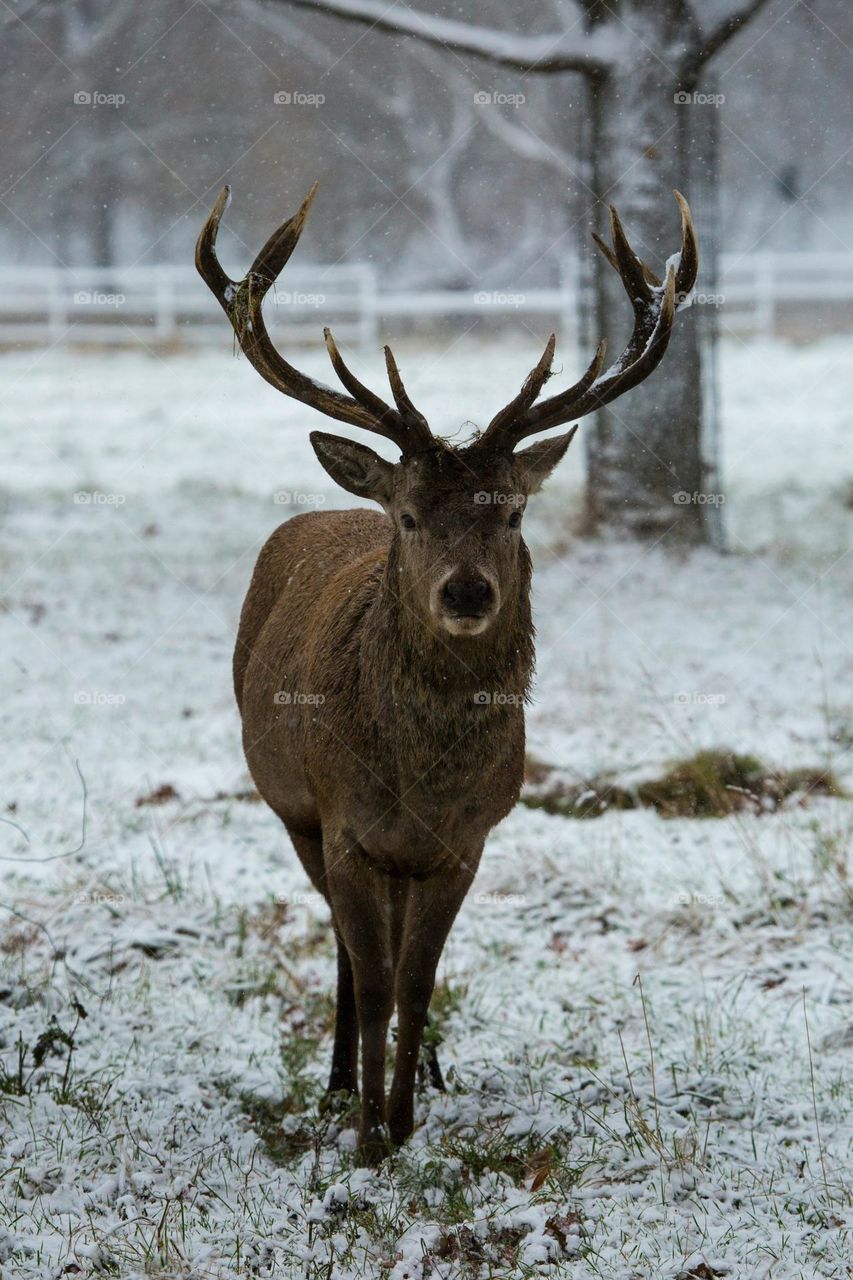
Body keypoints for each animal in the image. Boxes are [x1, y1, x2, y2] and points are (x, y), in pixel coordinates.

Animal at [196, 178, 698, 1164]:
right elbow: (375, 978)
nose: (467, 591)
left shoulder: (467, 839)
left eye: (510, 512)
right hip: (291, 810)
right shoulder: (343, 824)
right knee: (347, 950)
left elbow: (420, 982)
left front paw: (404, 1119)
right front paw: (366, 1136)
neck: (417, 781)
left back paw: (422, 1073)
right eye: (411, 515)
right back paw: (338, 1080)